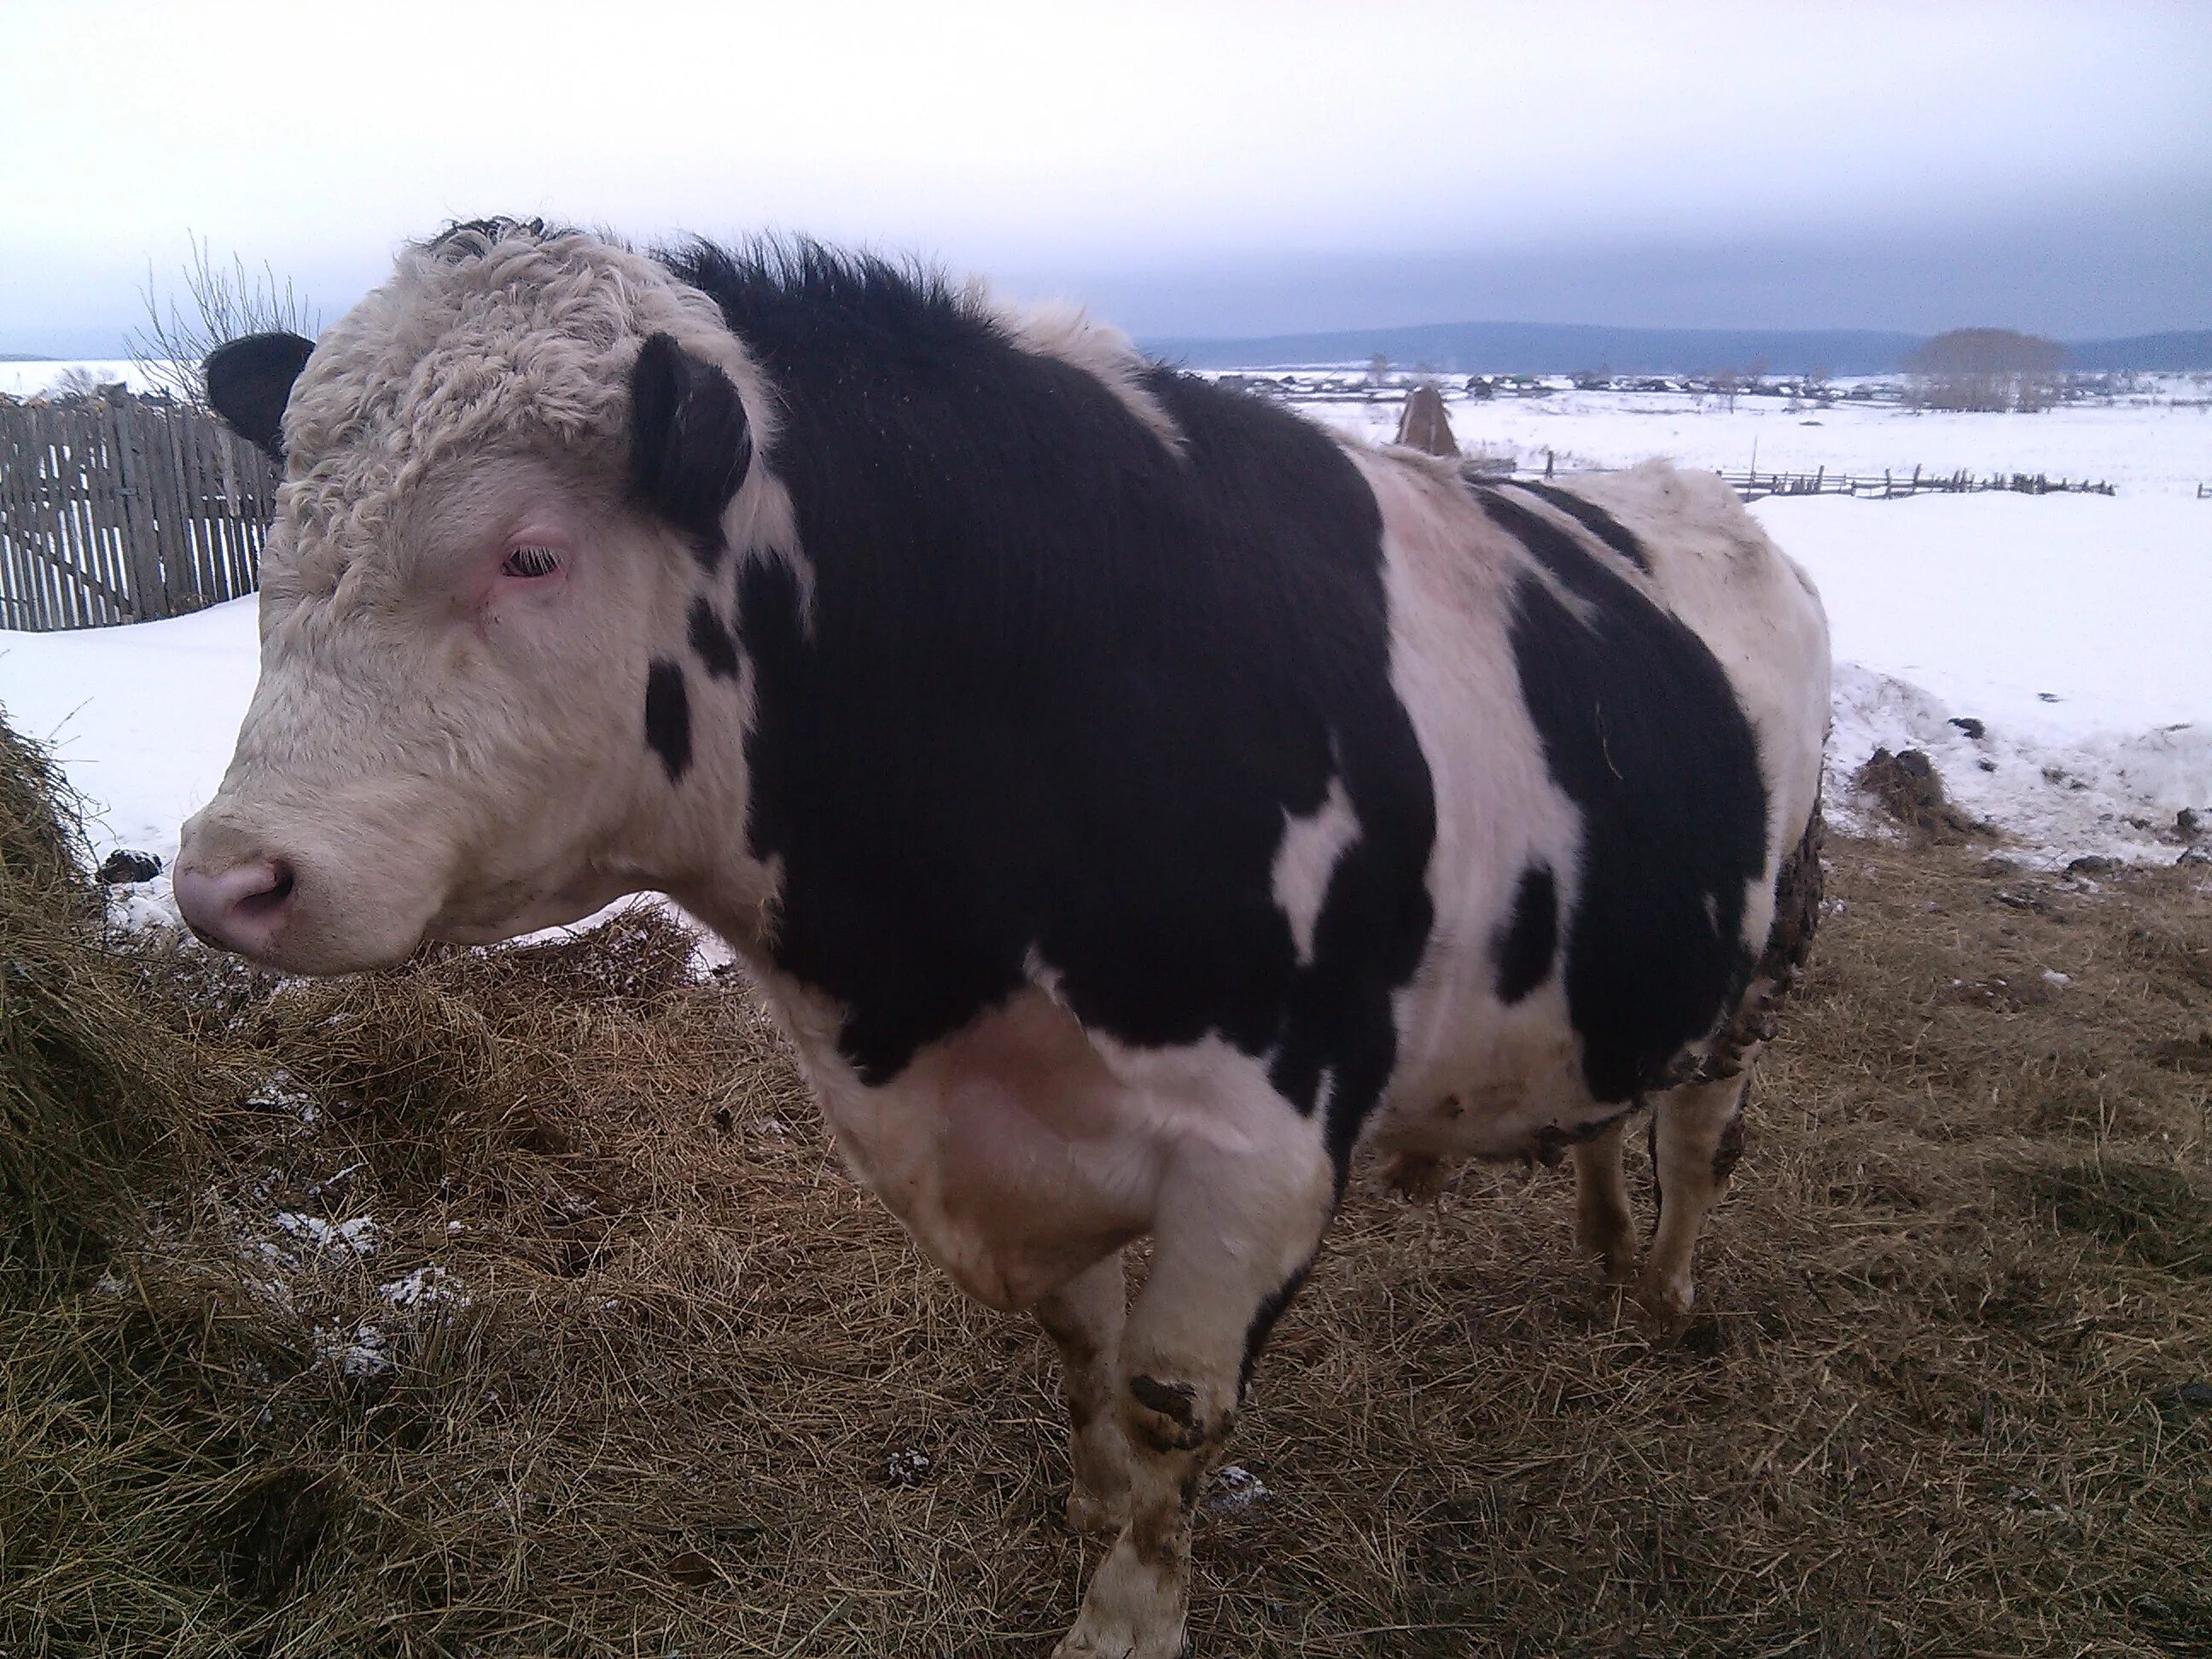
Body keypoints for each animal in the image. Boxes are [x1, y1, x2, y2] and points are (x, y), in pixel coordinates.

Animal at [177, 221, 1831, 1659]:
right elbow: (1086, 1369)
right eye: (287, 521)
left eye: (528, 554)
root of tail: (1690, 493)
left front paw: (1124, 1622)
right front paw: (1090, 1528)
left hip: (1764, 946)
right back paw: (1600, 1249)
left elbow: (1167, 1408)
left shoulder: (1268, 1149)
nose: (225, 876)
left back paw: (1664, 1296)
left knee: (1699, 1135)